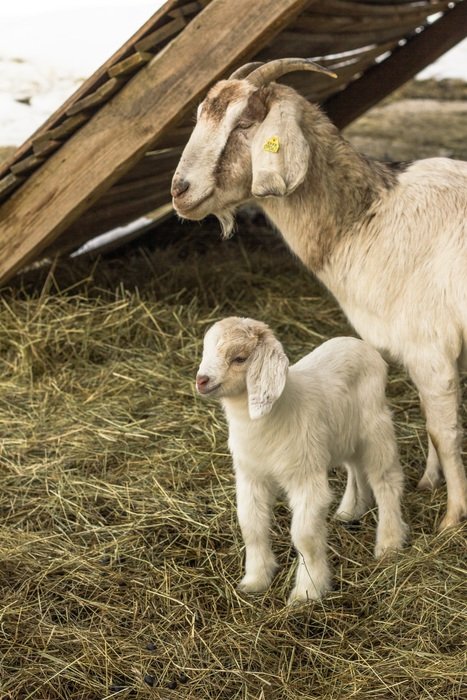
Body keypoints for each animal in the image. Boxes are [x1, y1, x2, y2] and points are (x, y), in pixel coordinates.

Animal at [173, 58, 467, 531]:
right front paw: (428, 481)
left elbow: (444, 431)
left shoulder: (430, 348)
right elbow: (431, 424)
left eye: (245, 123)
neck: (370, 216)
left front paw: (452, 519)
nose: (179, 191)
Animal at [196, 316, 407, 603]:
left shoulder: (306, 479)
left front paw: (308, 592)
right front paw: (255, 580)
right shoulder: (251, 477)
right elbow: (251, 527)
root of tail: (359, 343)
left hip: (376, 431)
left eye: (239, 358)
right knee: (355, 467)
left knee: (386, 481)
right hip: (343, 435)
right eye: (206, 349)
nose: (201, 380)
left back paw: (389, 544)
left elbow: (305, 537)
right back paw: (351, 509)